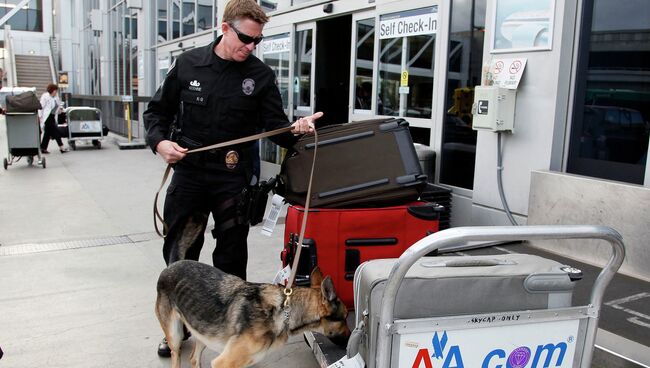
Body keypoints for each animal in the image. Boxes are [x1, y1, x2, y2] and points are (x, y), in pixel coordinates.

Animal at [154, 260, 350, 366]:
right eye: (345, 317)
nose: (351, 339)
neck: (284, 312)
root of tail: (171, 266)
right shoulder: (224, 363)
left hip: (203, 330)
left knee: (194, 359)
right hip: (175, 337)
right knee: (176, 356)